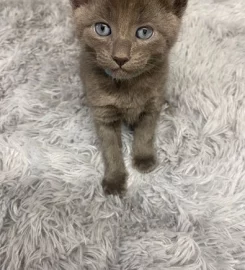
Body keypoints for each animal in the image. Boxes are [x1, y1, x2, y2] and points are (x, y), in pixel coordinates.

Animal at [71, 0, 188, 195]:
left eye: (144, 32)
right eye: (102, 28)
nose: (120, 58)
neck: (127, 86)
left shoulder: (152, 103)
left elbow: (145, 133)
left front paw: (144, 159)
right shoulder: (104, 113)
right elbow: (110, 148)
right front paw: (114, 180)